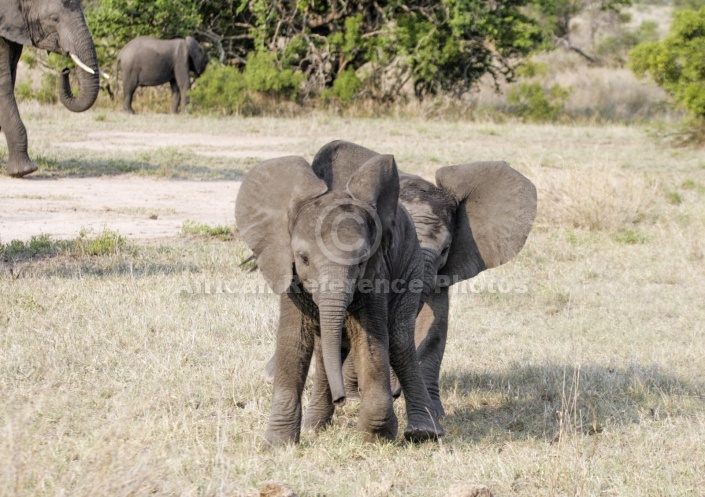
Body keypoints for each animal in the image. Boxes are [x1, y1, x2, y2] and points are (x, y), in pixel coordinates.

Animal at [236, 152, 446, 446]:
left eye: (361, 261)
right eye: (303, 258)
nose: (342, 398)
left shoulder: (376, 273)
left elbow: (370, 340)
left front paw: (376, 436)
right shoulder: (287, 271)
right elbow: (294, 340)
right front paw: (278, 444)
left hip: (411, 266)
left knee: (399, 340)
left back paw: (423, 432)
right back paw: (314, 427)